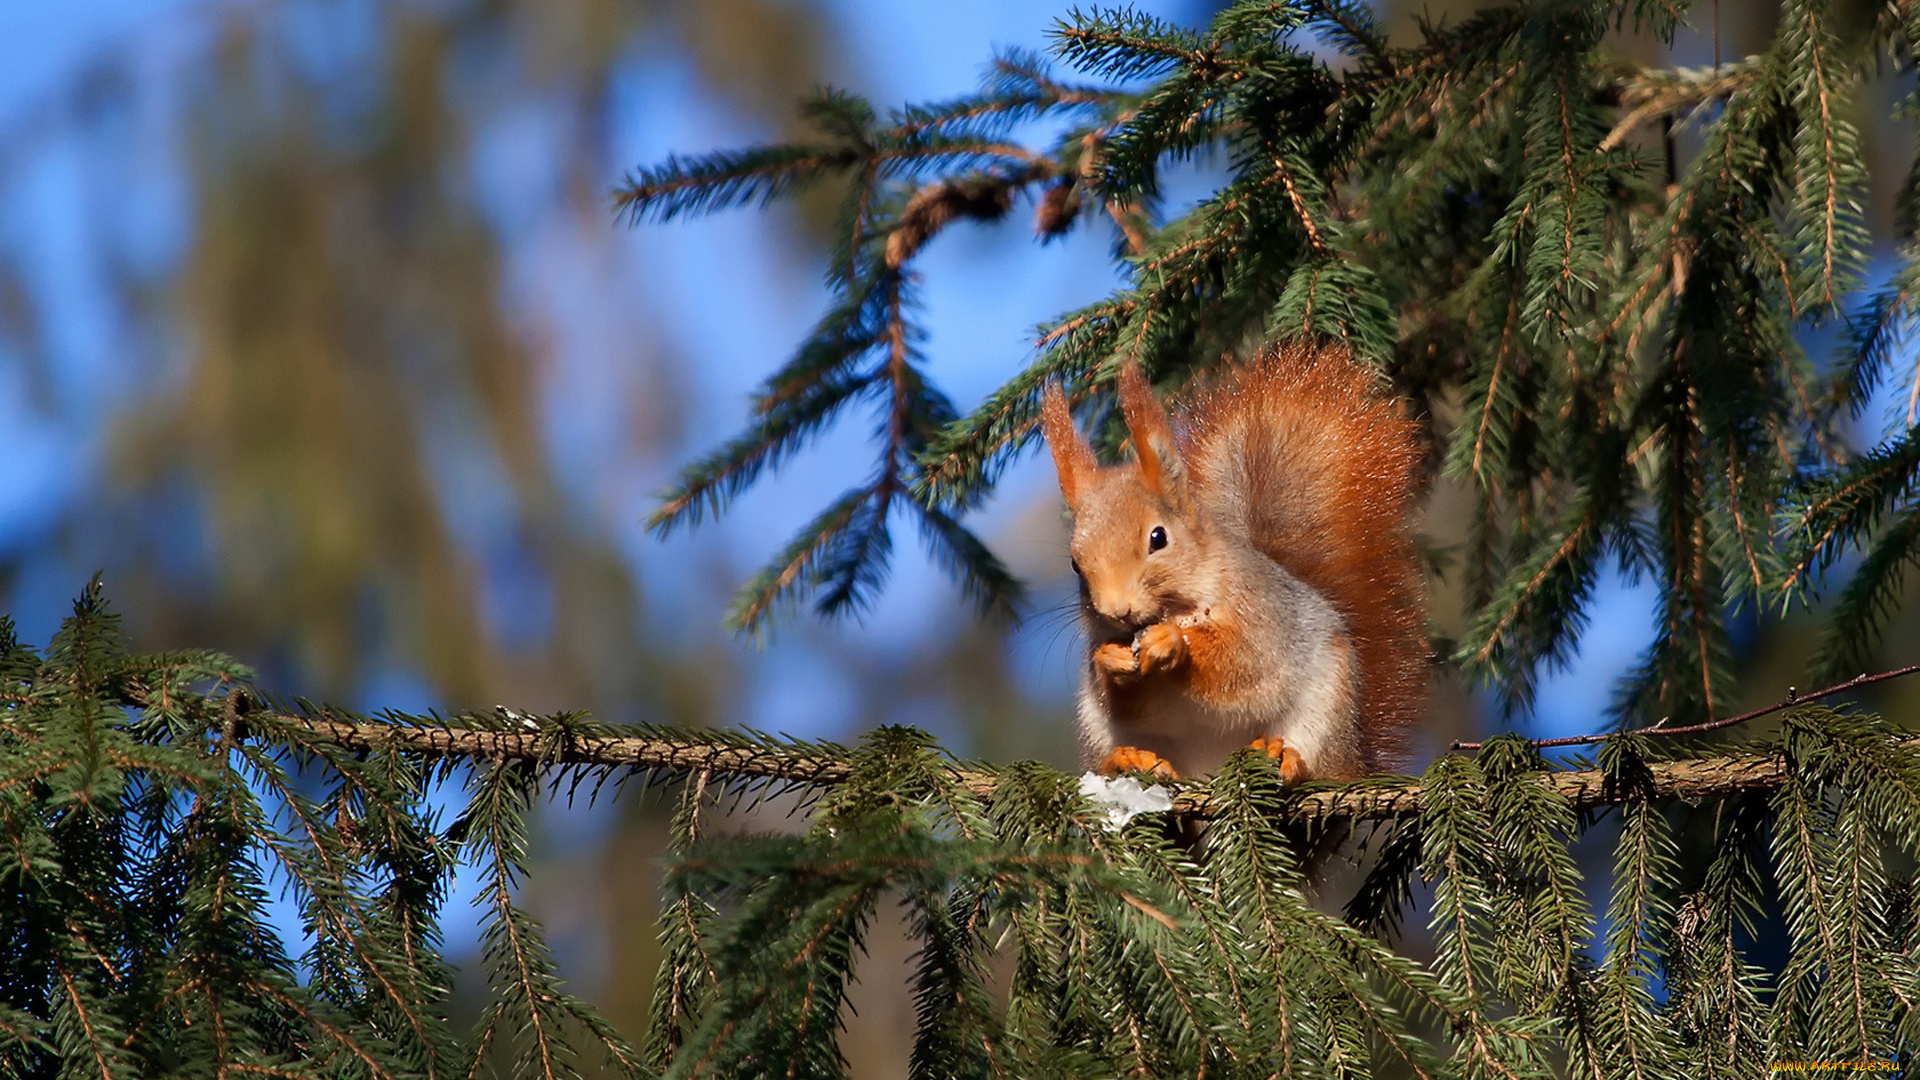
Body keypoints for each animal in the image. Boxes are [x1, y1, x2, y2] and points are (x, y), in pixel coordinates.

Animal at [1036, 338, 1428, 780]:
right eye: (1075, 563)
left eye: (1158, 538)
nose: (1117, 610)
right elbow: (1128, 703)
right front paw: (1111, 661)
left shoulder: (1262, 617)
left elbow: (1241, 665)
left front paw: (1173, 643)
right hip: (1098, 731)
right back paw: (1127, 760)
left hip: (1326, 710)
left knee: (1317, 765)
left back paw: (1285, 757)